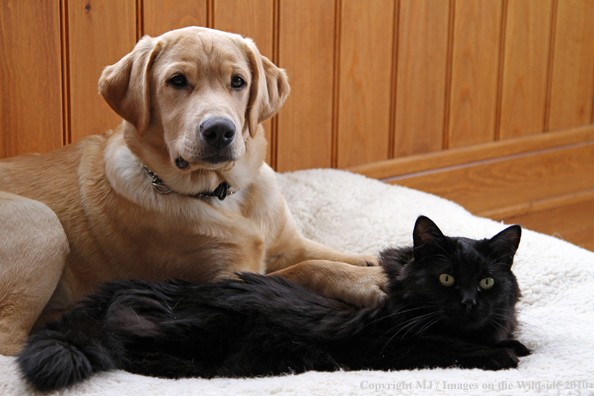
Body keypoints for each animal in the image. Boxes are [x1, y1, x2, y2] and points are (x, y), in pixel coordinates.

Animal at [17, 218, 528, 392]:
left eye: (486, 282)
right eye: (446, 279)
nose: (468, 303)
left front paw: (514, 345)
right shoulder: (385, 344)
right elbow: (454, 349)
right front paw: (502, 355)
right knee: (130, 348)